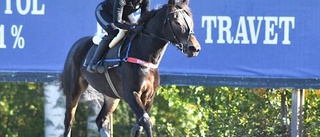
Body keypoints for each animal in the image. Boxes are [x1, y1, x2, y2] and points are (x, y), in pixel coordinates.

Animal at [60, 0, 200, 136]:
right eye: (177, 22)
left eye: (191, 21)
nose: (194, 48)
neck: (145, 57)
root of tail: (76, 45)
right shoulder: (131, 94)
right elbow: (146, 121)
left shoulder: (149, 97)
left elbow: (138, 126)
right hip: (74, 90)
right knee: (69, 121)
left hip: (112, 96)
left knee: (100, 120)